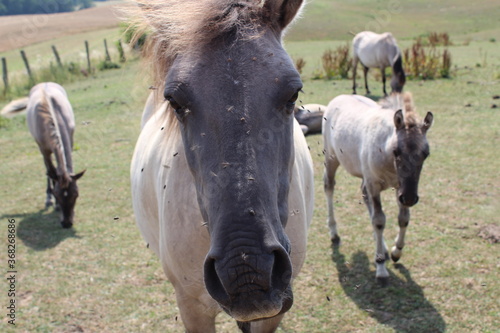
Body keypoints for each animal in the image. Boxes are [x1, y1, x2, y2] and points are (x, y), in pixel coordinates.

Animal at [6, 81, 86, 227]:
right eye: (57, 194)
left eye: (76, 194)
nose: (67, 223)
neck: (51, 113)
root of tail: (44, 83)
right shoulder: (44, 149)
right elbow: (51, 171)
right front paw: (54, 202)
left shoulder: (70, 140)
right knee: (48, 170)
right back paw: (48, 199)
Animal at [322, 91, 432, 282]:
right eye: (396, 151)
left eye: (426, 154)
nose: (410, 198)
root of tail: (339, 97)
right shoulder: (375, 184)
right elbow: (379, 220)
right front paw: (381, 268)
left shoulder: (399, 187)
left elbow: (403, 218)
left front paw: (396, 251)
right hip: (331, 158)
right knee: (329, 186)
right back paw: (334, 234)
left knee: (364, 195)